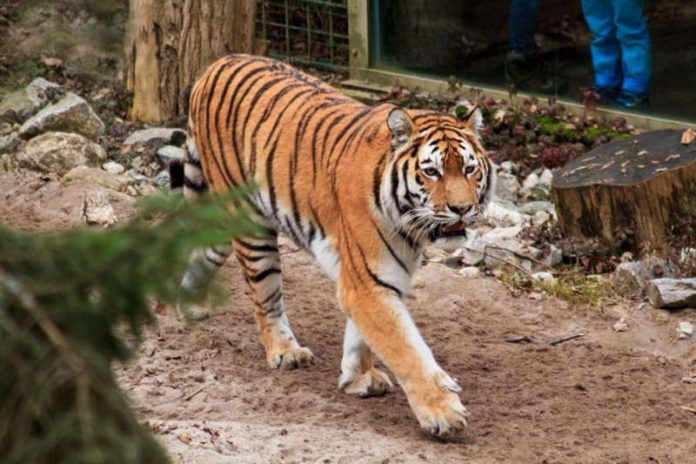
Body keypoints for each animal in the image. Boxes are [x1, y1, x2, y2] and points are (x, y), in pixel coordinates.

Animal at [173, 53, 494, 436]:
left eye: (470, 169)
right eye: (432, 172)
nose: (462, 208)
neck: (409, 224)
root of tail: (217, 63)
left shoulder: (377, 277)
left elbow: (364, 335)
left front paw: (358, 378)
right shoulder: (366, 282)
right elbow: (406, 349)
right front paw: (443, 412)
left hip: (225, 221)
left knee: (203, 249)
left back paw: (189, 305)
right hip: (249, 222)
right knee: (266, 297)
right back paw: (285, 351)